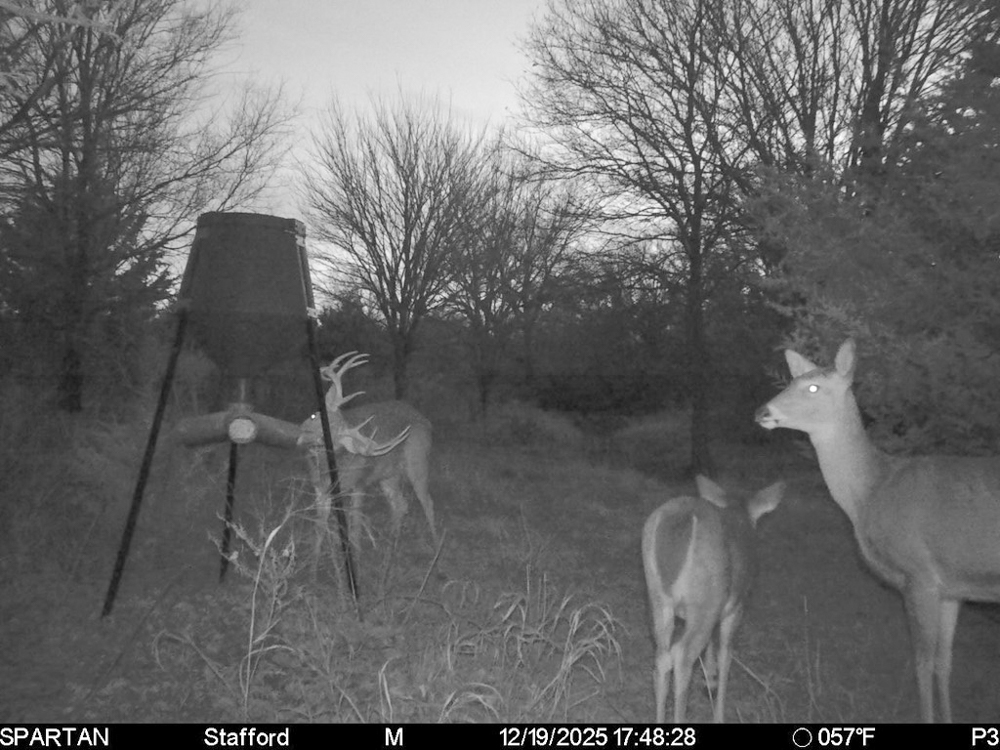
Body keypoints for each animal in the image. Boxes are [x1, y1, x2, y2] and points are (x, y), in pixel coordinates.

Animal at [297, 352, 437, 572]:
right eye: (314, 415)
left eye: (333, 435)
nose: (303, 435)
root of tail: (426, 421)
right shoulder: (320, 489)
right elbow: (319, 528)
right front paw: (312, 569)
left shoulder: (359, 483)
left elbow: (354, 528)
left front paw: (356, 562)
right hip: (388, 477)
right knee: (400, 505)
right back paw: (390, 551)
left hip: (418, 462)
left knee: (427, 503)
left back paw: (436, 551)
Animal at [642, 474, 784, 723]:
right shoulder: (735, 607)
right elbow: (726, 654)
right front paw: (719, 711)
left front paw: (710, 678)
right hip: (704, 601)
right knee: (682, 656)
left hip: (659, 597)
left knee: (662, 657)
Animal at [755, 338, 1000, 722]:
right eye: (792, 381)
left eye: (813, 387)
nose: (762, 412)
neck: (874, 490)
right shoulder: (952, 588)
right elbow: (944, 664)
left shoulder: (920, 574)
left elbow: (921, 664)